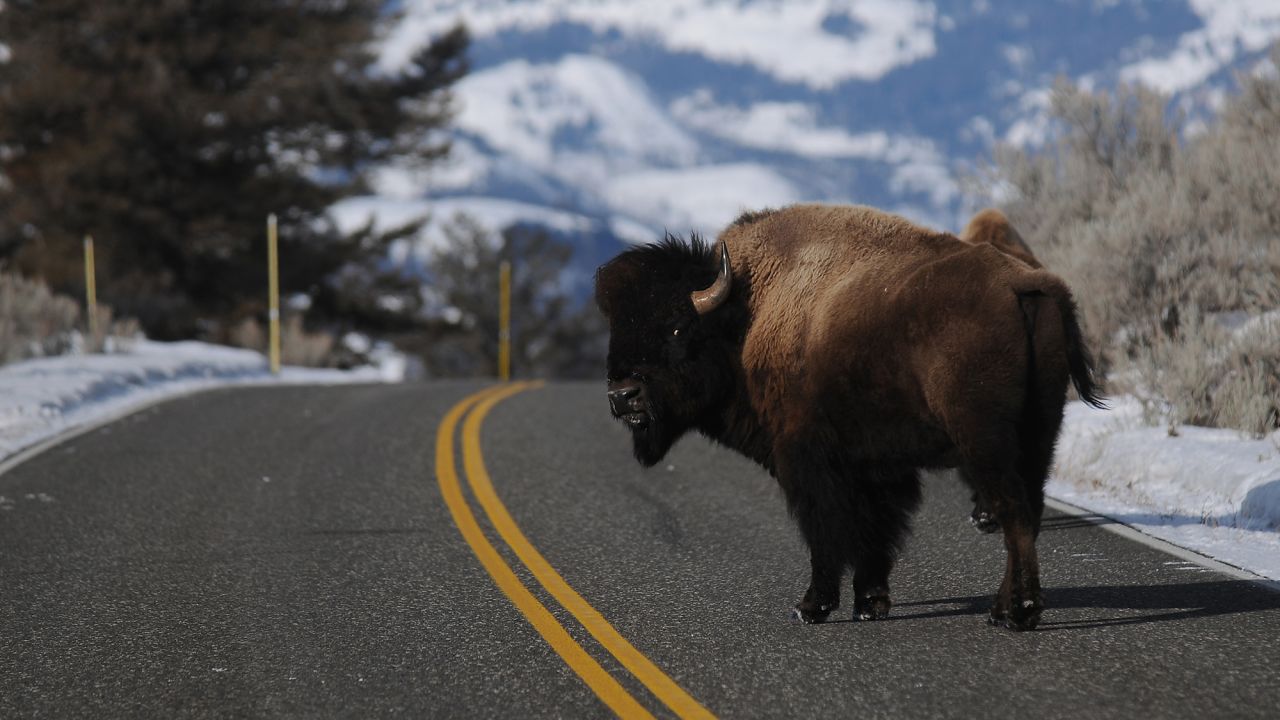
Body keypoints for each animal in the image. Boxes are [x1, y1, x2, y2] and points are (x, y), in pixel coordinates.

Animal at [593, 202, 1105, 627]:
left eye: (677, 326)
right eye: (616, 329)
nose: (623, 395)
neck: (747, 314)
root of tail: (1023, 285)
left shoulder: (806, 461)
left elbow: (827, 531)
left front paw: (812, 607)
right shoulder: (877, 468)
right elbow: (874, 533)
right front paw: (869, 603)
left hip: (984, 440)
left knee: (1013, 509)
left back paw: (1017, 614)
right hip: (1040, 432)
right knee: (1029, 509)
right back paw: (1006, 608)